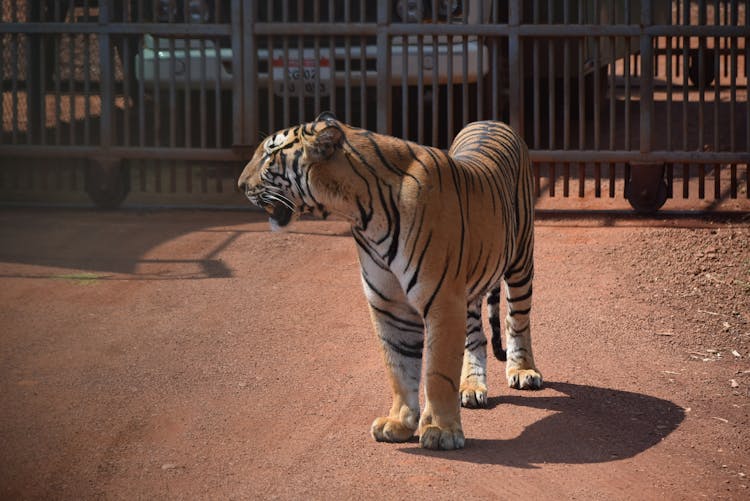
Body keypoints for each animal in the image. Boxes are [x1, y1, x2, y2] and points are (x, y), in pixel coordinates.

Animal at [238, 112, 544, 450]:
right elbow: (398, 366)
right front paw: (399, 423)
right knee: (476, 337)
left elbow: (437, 371)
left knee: (517, 322)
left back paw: (523, 372)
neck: (360, 212)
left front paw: (441, 431)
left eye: (269, 155)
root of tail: (491, 120)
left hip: (520, 262)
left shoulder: (442, 301)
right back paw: (472, 388)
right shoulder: (390, 304)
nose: (240, 185)